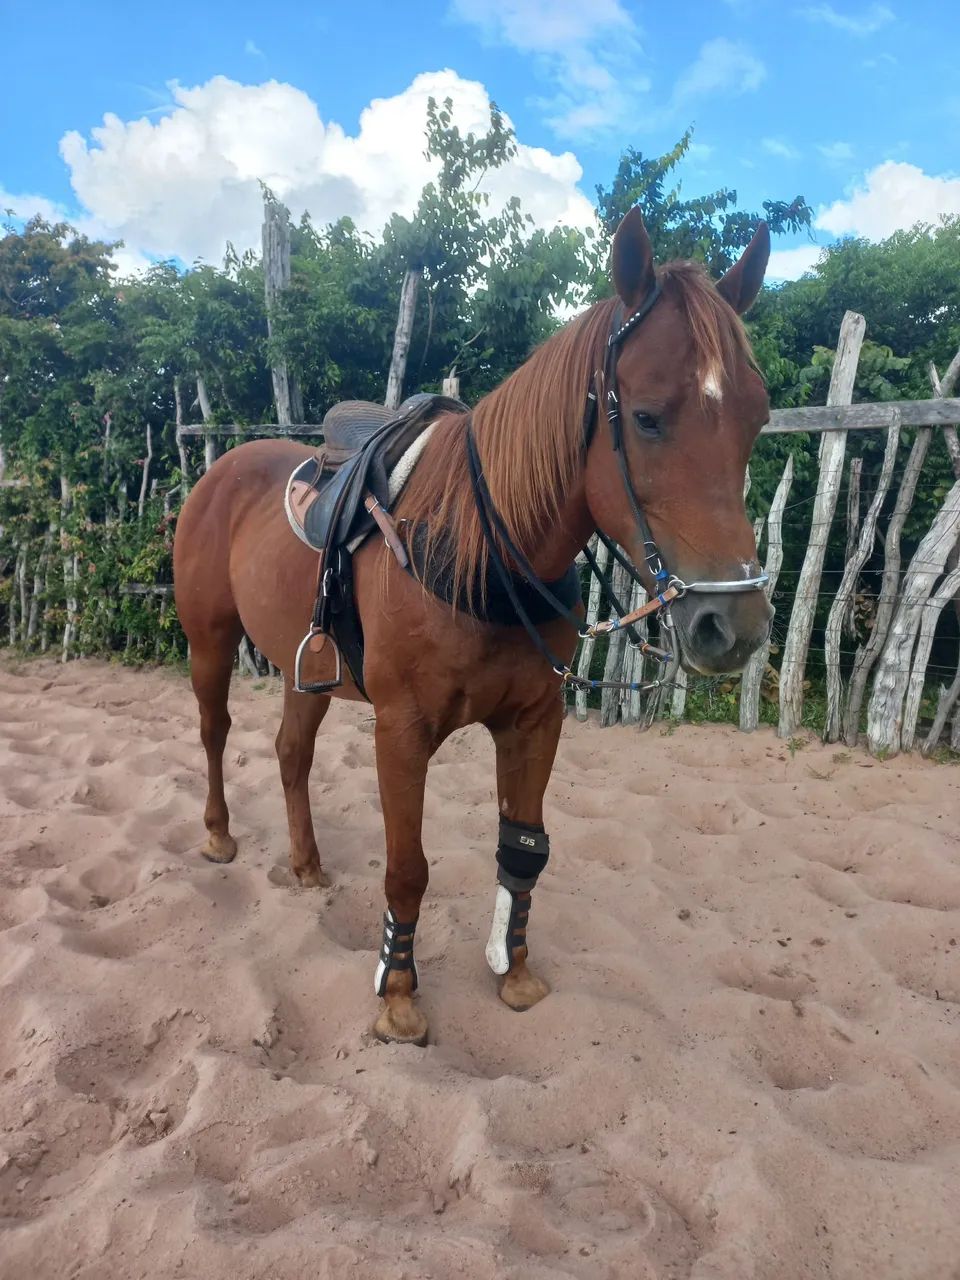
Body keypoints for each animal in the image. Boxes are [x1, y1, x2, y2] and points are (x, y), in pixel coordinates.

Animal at [173, 208, 774, 1047]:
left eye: (757, 418)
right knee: (215, 731)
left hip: (307, 667)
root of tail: (223, 468)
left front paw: (514, 972)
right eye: (647, 418)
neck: (483, 553)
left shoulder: (534, 720)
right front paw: (397, 995)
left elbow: (521, 851)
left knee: (291, 754)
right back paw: (219, 833)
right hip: (209, 642)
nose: (734, 624)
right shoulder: (401, 730)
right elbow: (407, 867)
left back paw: (306, 863)